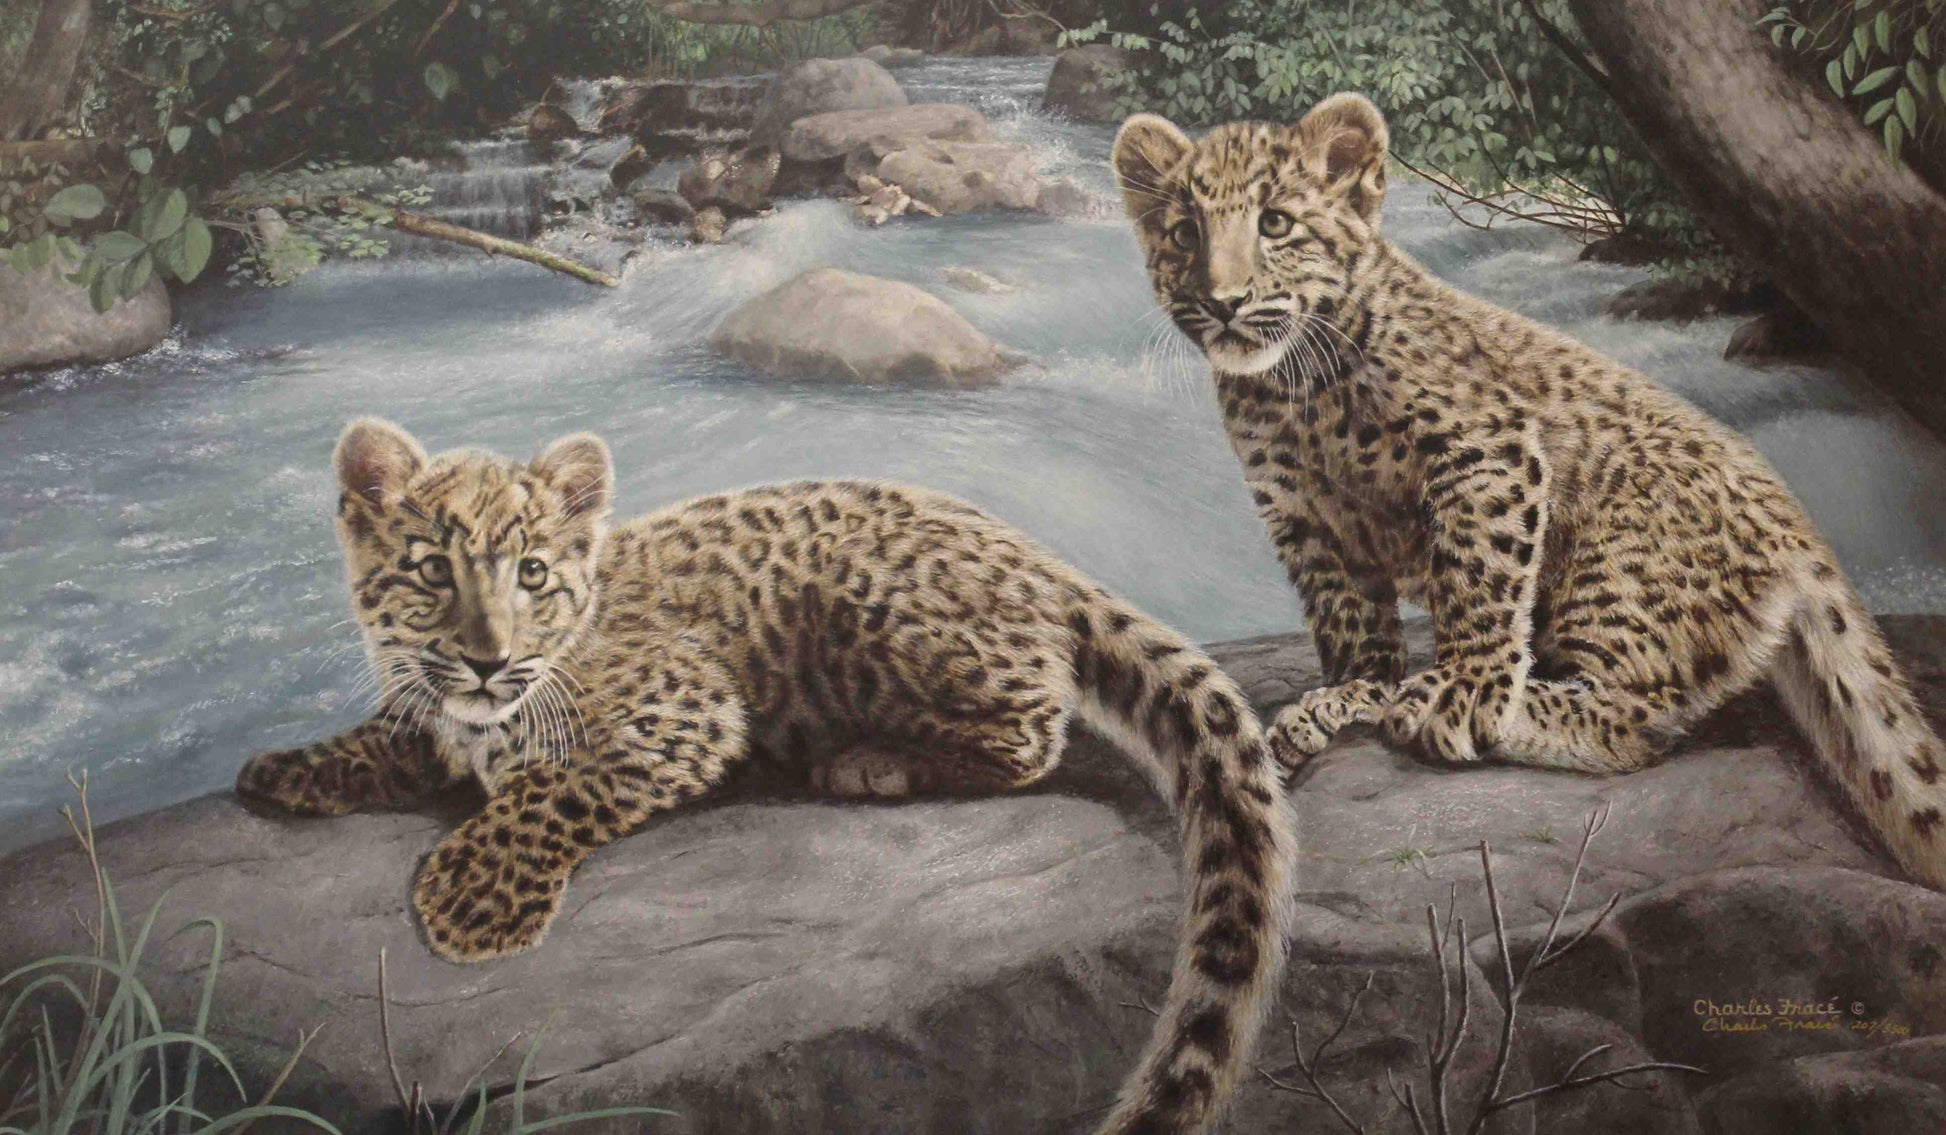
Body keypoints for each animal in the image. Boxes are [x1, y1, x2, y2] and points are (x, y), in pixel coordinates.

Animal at [235, 418, 1299, 1135]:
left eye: (532, 573)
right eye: (431, 570)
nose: (490, 657)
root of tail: (1035, 553)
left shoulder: (687, 706)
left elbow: (552, 788)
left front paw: (473, 899)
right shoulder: (438, 708)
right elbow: (399, 732)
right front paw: (288, 768)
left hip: (882, 616)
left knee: (1034, 724)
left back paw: (868, 763)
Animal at [1110, 92, 1946, 891]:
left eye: (1276, 223)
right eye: (1183, 233)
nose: (1223, 299)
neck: (1291, 388)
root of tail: (1797, 522)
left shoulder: (1487, 452)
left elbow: (1478, 580)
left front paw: (1464, 693)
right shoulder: (1305, 513)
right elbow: (1348, 615)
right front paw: (1348, 694)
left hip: (1618, 572)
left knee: (1637, 720)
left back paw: (1482, 705)